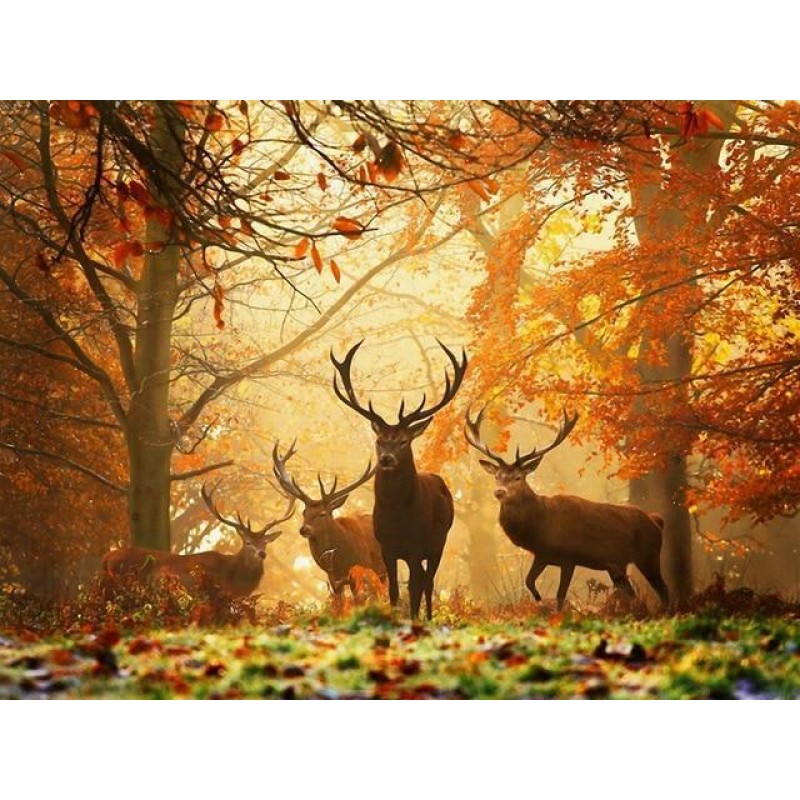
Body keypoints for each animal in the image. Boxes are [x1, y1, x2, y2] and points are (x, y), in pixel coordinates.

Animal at [271, 440, 385, 600]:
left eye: (323, 513)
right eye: (304, 512)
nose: (304, 529)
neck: (341, 560)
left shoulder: (362, 568)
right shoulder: (333, 578)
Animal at [331, 339, 468, 620]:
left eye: (404, 441)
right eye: (379, 440)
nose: (386, 459)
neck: (398, 517)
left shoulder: (416, 546)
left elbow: (414, 588)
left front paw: (414, 619)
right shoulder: (387, 548)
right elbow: (394, 590)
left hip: (439, 541)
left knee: (428, 582)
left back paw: (428, 617)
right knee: (423, 580)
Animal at [465, 406, 670, 611]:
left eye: (518, 477)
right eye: (497, 476)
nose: (499, 491)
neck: (540, 526)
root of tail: (656, 520)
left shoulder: (569, 557)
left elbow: (560, 595)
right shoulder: (542, 555)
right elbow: (529, 581)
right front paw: (540, 601)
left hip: (649, 554)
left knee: (663, 589)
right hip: (618, 565)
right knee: (633, 594)